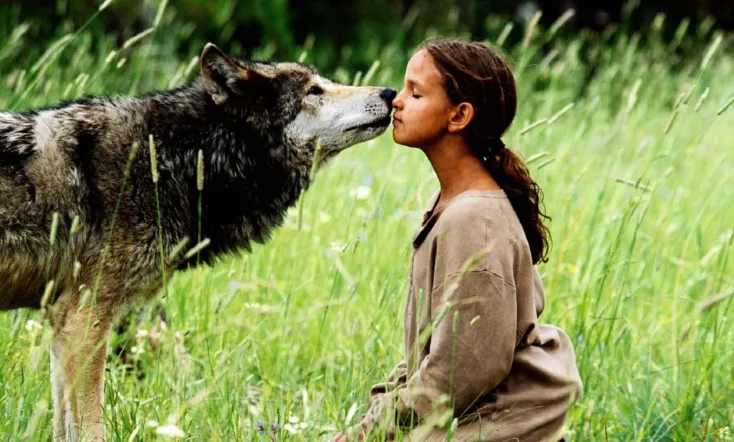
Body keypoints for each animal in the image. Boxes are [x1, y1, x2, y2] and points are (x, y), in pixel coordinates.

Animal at [0, 43, 396, 441]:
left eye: (324, 83)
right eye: (314, 91)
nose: (390, 93)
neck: (176, 157)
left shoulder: (63, 321)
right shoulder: (85, 319)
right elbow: (91, 428)